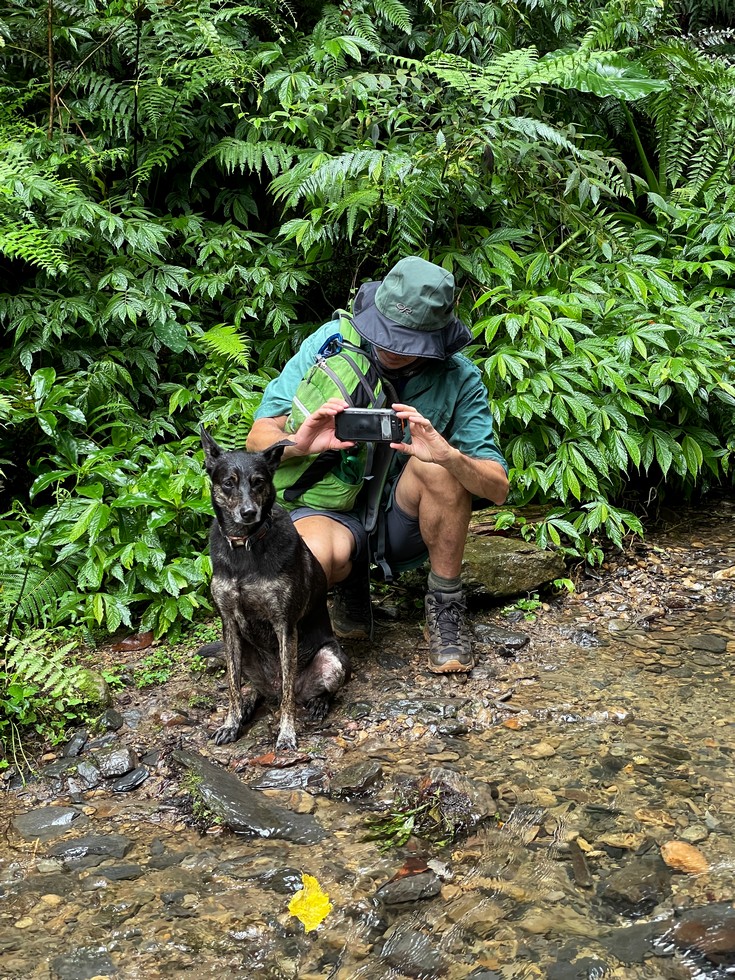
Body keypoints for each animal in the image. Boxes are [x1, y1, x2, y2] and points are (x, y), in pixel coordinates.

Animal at [201, 428, 350, 752]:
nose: (248, 512)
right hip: (244, 649)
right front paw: (231, 723)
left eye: (259, 481)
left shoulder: (284, 625)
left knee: (304, 691)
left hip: (332, 659)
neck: (245, 544)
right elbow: (232, 686)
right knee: (255, 689)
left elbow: (288, 691)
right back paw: (249, 705)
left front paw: (287, 733)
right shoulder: (229, 624)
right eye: (228, 482)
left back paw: (317, 703)